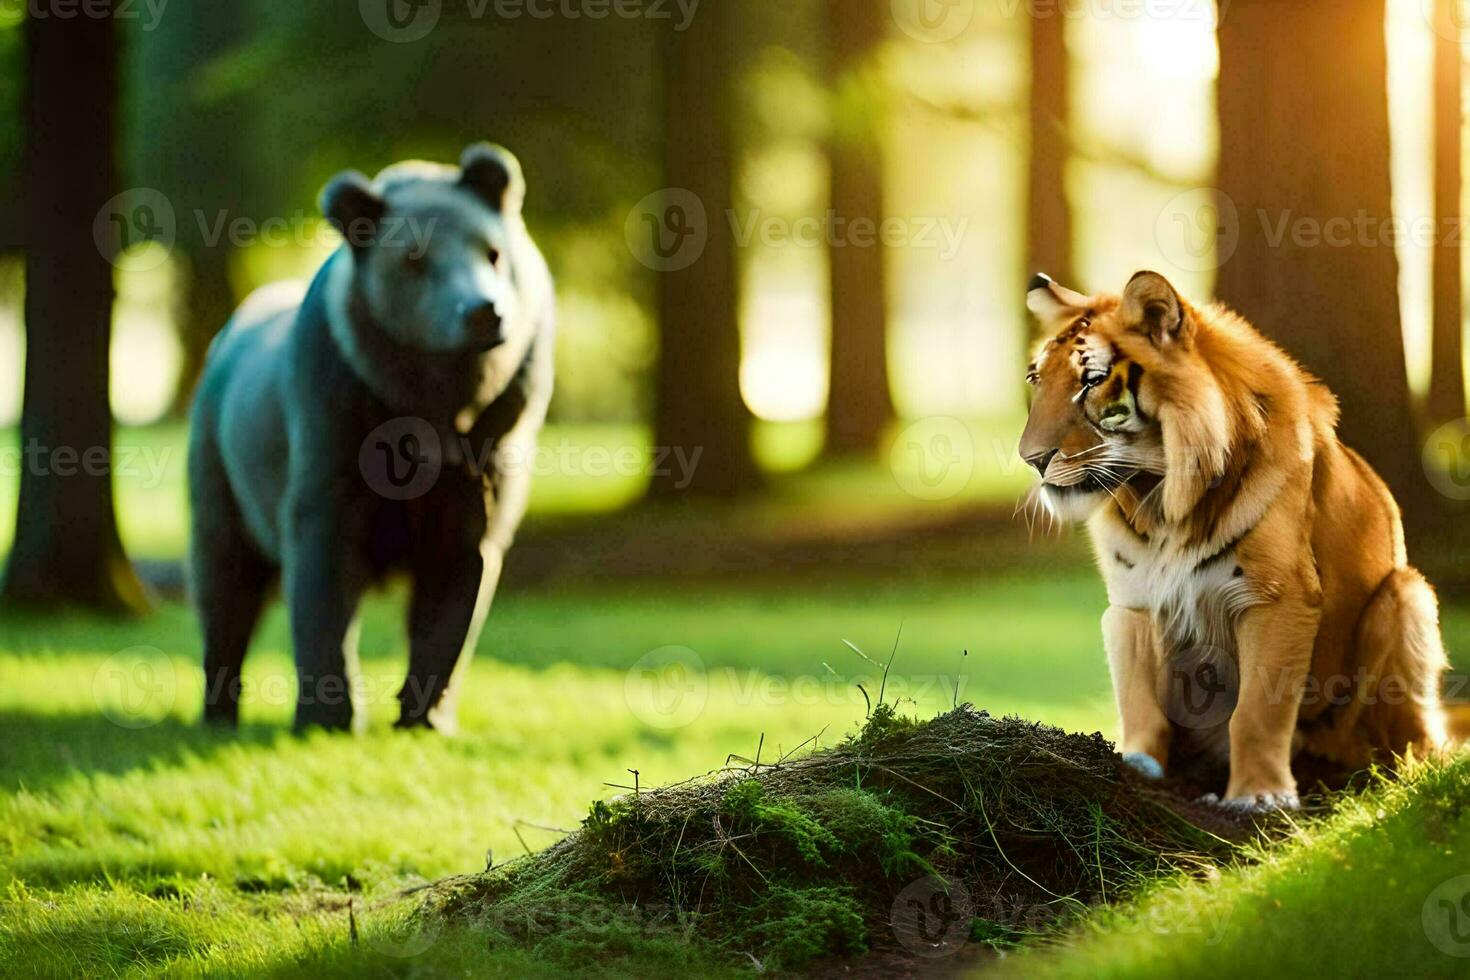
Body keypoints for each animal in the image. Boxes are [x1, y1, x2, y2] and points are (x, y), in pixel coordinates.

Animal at [183, 141, 552, 731]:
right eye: (414, 259)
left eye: (493, 252)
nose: (482, 311)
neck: (433, 408)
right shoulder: (335, 427)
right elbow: (322, 578)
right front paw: (327, 713)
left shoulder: (488, 455)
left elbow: (457, 580)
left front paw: (425, 716)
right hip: (220, 470)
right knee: (224, 581)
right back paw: (219, 707)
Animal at [1023, 268, 1446, 811]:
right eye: (1036, 380)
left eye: (1092, 382)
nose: (1031, 459)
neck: (1162, 500)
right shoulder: (1132, 605)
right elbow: (1141, 703)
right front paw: (1139, 769)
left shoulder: (1277, 598)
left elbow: (1257, 712)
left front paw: (1259, 796)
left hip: (1407, 595)